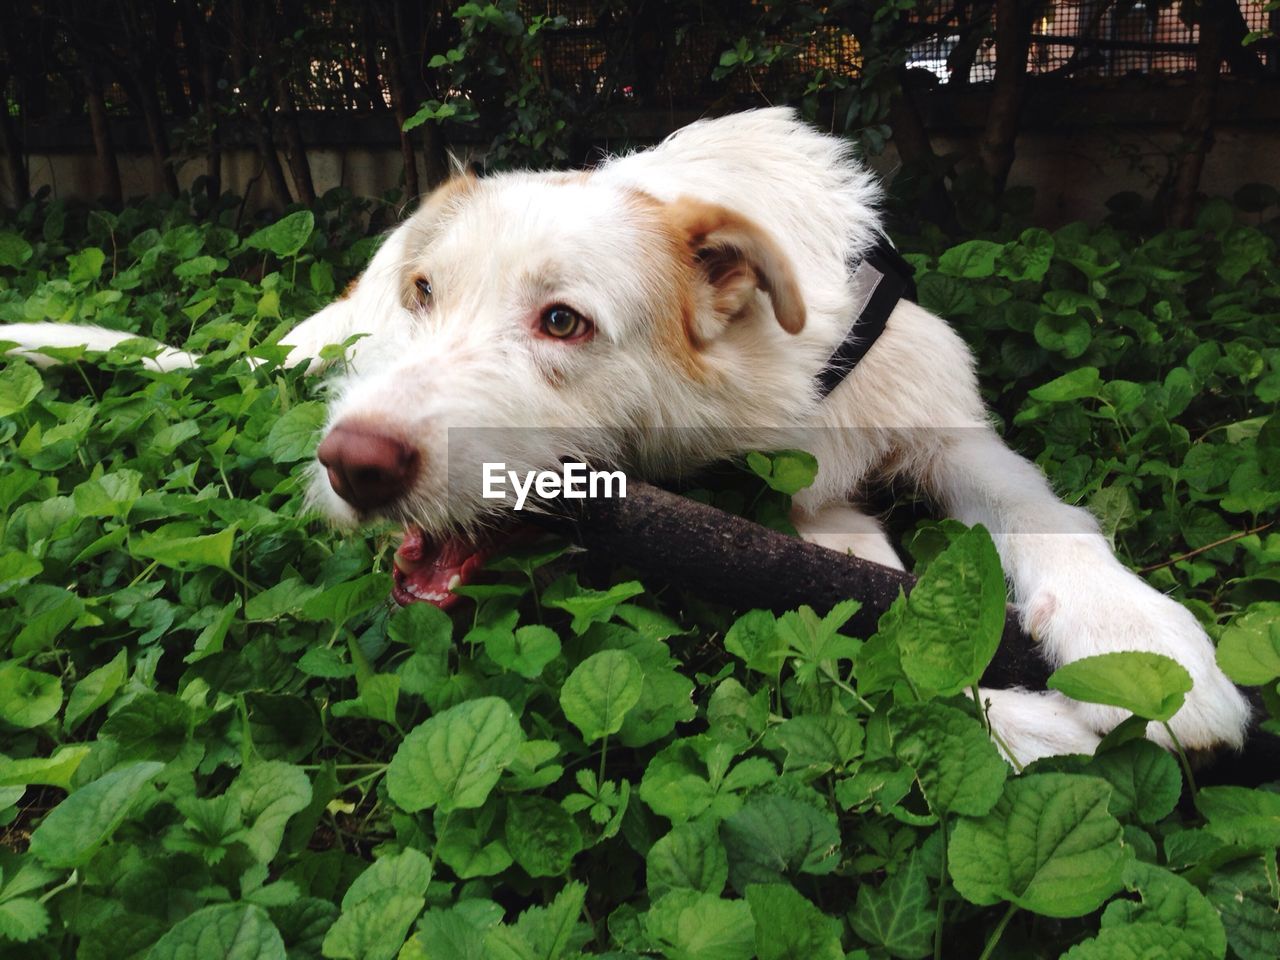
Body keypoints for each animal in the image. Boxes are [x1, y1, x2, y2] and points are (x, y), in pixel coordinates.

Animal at [2, 106, 1249, 768]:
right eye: (427, 293)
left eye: (563, 321)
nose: (352, 468)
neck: (769, 386)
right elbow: (850, 621)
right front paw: (1037, 719)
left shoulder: (948, 429)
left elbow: (1043, 516)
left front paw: (1143, 646)